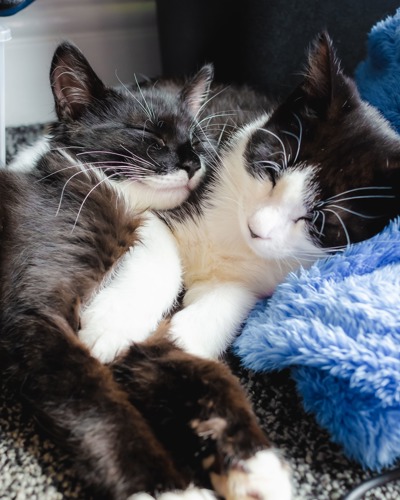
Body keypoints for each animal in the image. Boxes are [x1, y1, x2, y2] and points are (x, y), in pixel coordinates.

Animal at [78, 34, 400, 364]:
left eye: (320, 218)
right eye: (271, 168)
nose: (257, 228)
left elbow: (236, 294)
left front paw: (183, 340)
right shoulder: (171, 196)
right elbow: (158, 250)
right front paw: (111, 327)